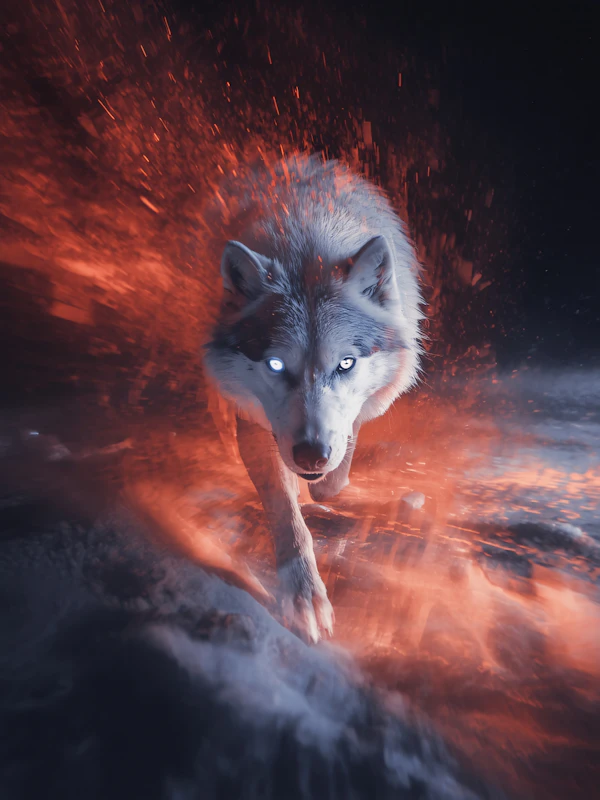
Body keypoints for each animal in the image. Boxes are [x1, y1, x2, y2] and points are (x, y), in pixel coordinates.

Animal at [203, 155, 423, 642]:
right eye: (275, 365)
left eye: (345, 364)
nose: (310, 455)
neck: (306, 241)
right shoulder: (257, 425)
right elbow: (287, 517)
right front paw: (303, 598)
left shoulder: (357, 412)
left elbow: (342, 458)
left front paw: (324, 484)